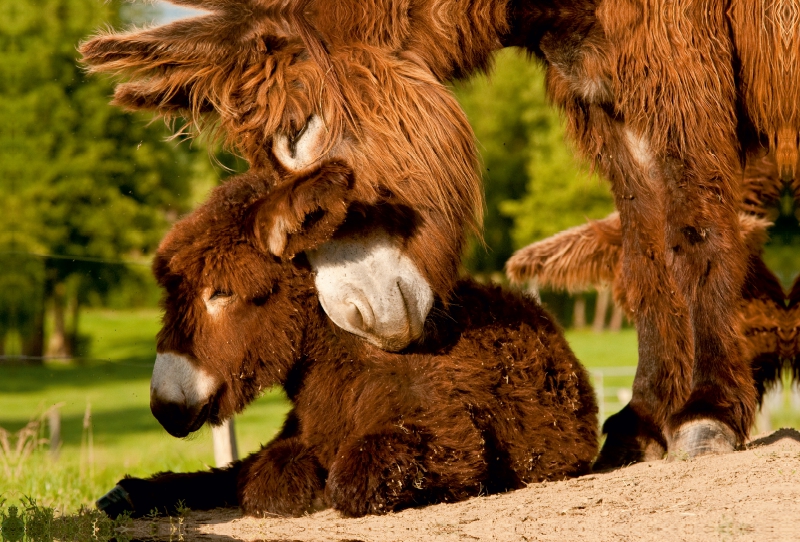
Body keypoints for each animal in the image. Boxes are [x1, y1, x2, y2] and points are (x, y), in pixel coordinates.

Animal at [100, 165, 596, 520]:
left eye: (220, 292)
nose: (164, 408)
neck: (337, 370)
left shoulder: (453, 441)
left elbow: (340, 480)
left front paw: (311, 490)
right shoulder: (298, 431)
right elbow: (242, 474)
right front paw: (132, 491)